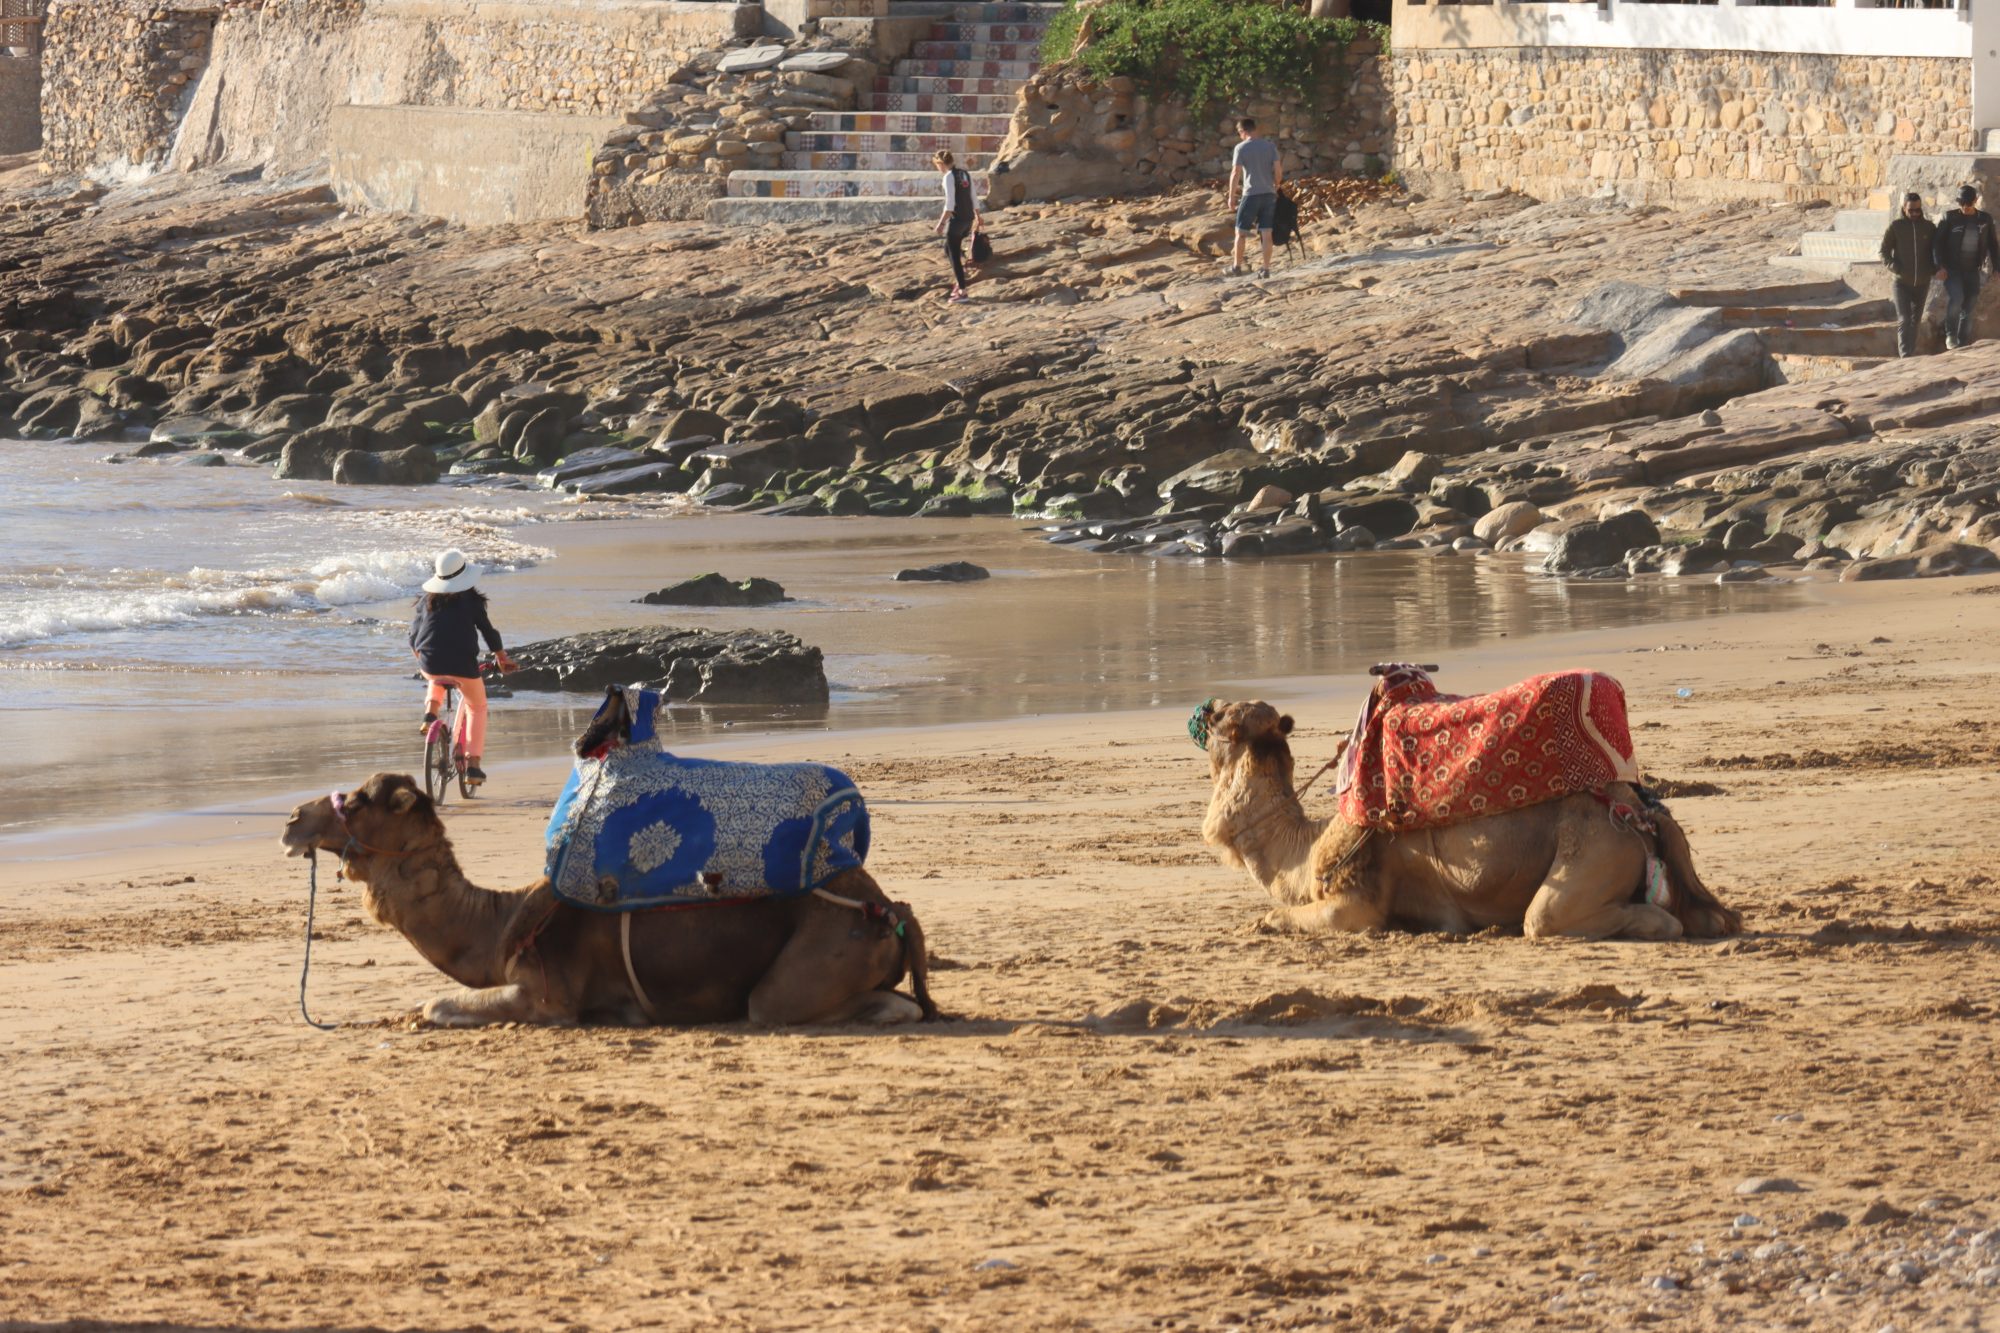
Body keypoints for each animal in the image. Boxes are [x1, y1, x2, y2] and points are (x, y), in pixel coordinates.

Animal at [281, 773, 938, 1027]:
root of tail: (889, 911)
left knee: (783, 1005)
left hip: (805, 967)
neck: (498, 926)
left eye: (357, 800)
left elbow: (433, 1003)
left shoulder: (549, 998)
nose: (291, 819)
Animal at [1197, 700, 1741, 941]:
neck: (1302, 848)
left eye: (1223, 718)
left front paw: (1264, 921)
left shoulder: (1356, 900)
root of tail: (1641, 813)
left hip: (1595, 849)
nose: (1204, 709)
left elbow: (1287, 917)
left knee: (1546, 919)